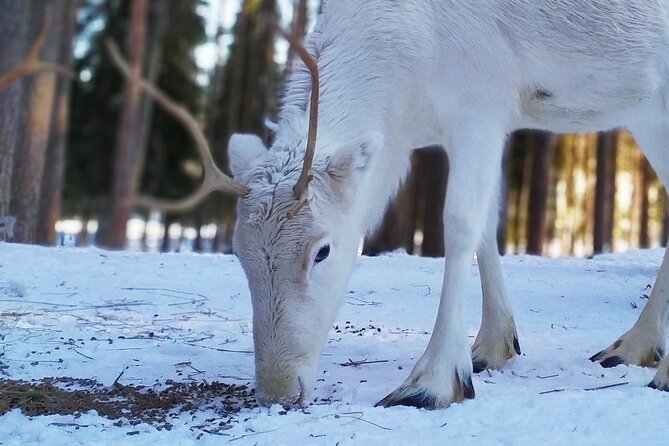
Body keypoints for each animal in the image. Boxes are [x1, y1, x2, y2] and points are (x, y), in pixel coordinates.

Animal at [112, 0, 669, 409]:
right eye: (238, 254)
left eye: (322, 251)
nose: (278, 389)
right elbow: (487, 225)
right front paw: (492, 346)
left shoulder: (482, 104)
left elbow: (459, 222)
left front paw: (433, 381)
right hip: (645, 110)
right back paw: (636, 346)